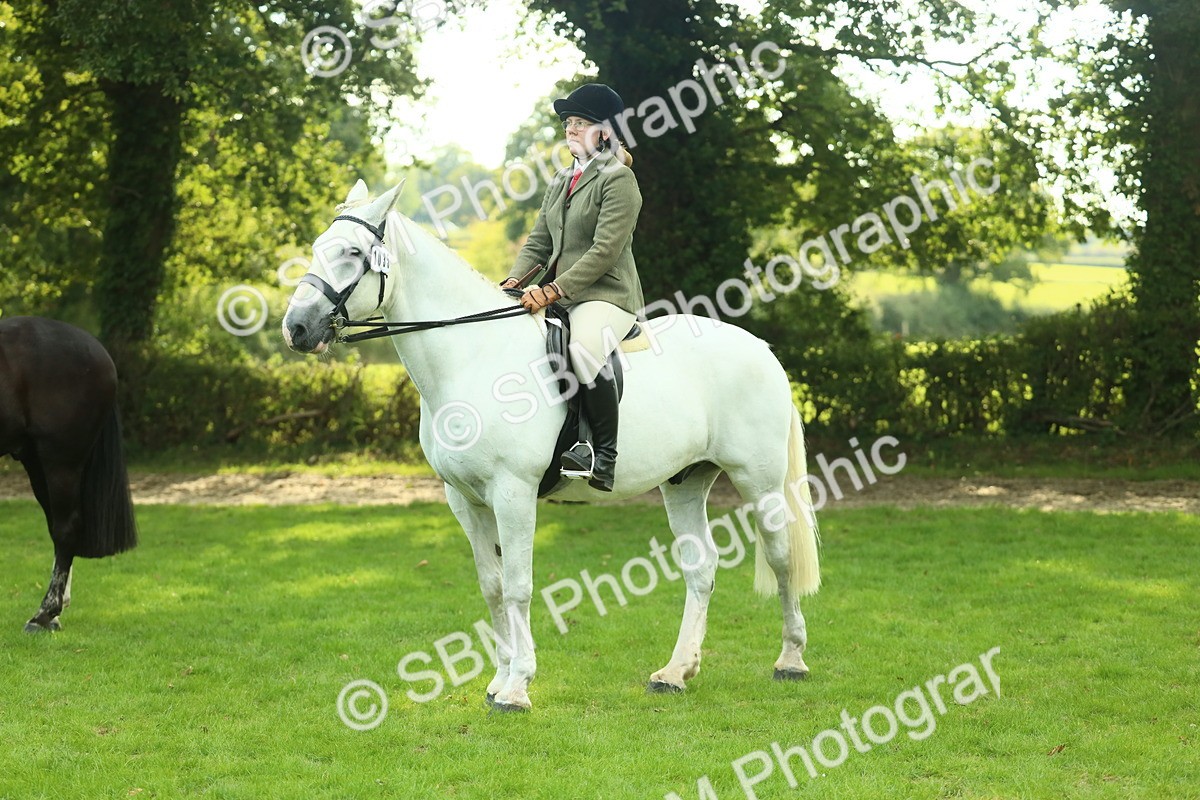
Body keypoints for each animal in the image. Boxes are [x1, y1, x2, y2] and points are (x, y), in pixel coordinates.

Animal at [282, 179, 821, 712]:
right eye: (318, 246)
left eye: (353, 252)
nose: (296, 329)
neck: (472, 356)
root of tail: (761, 349)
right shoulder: (465, 500)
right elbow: (493, 587)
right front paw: (499, 678)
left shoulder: (513, 493)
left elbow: (519, 587)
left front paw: (517, 687)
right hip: (684, 483)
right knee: (701, 568)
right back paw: (676, 672)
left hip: (759, 481)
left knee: (780, 558)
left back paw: (790, 661)